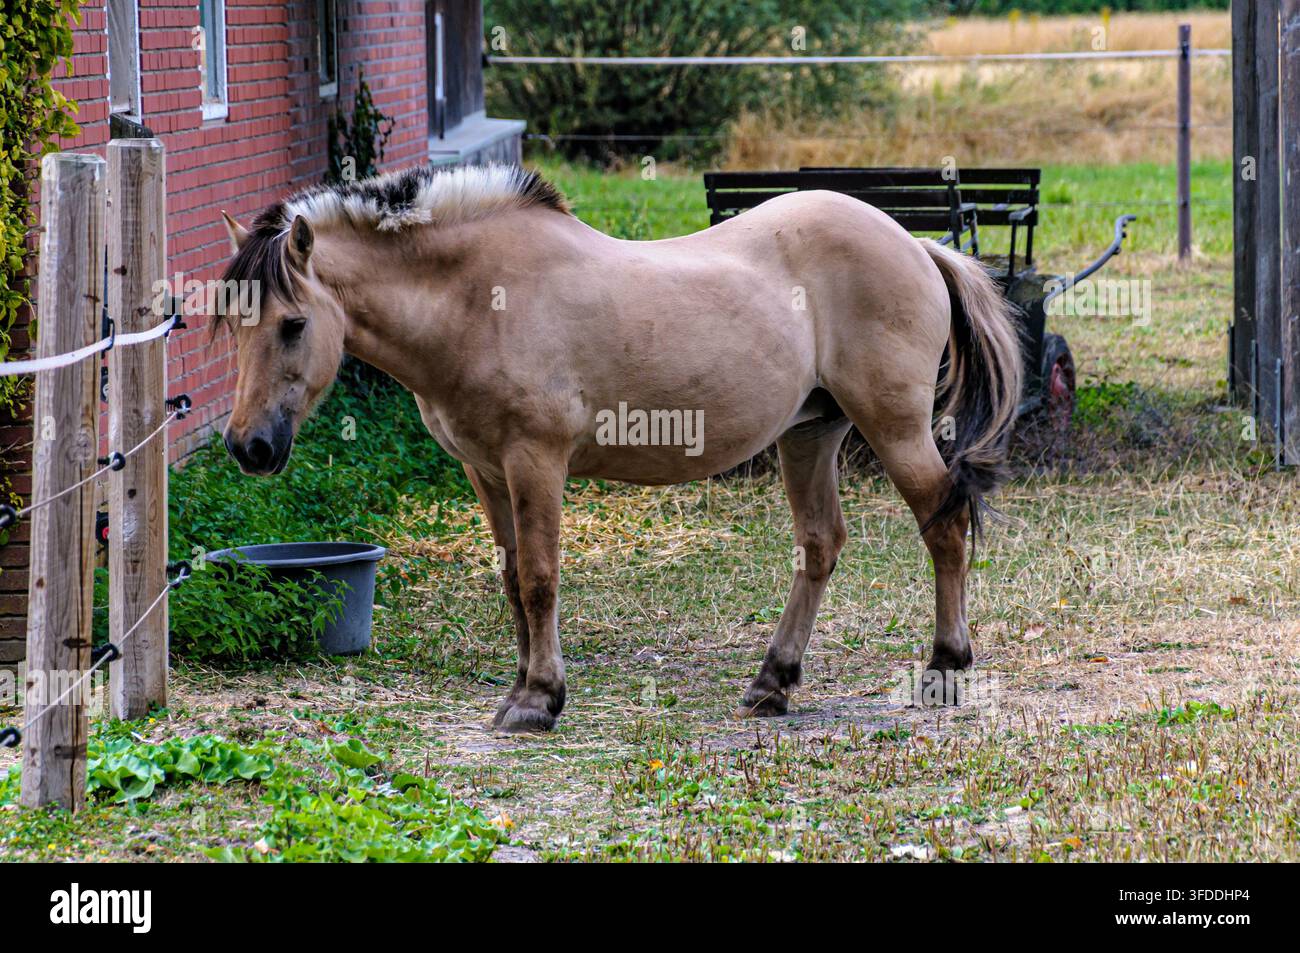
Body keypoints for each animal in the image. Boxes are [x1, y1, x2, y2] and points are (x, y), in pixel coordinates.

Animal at [216, 163, 1022, 733]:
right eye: (230, 324)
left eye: (292, 324)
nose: (249, 447)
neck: (478, 298)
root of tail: (917, 243)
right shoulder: (484, 471)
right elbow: (511, 578)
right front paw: (522, 689)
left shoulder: (535, 461)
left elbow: (539, 578)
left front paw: (539, 699)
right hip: (810, 433)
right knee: (820, 544)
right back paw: (772, 682)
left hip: (895, 427)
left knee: (944, 526)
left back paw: (944, 669)